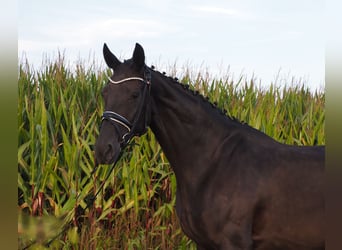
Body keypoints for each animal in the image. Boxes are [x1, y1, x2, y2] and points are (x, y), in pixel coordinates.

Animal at [95, 43, 324, 250]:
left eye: (134, 94)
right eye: (104, 93)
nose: (103, 150)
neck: (214, 162)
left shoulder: (234, 244)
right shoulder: (202, 243)